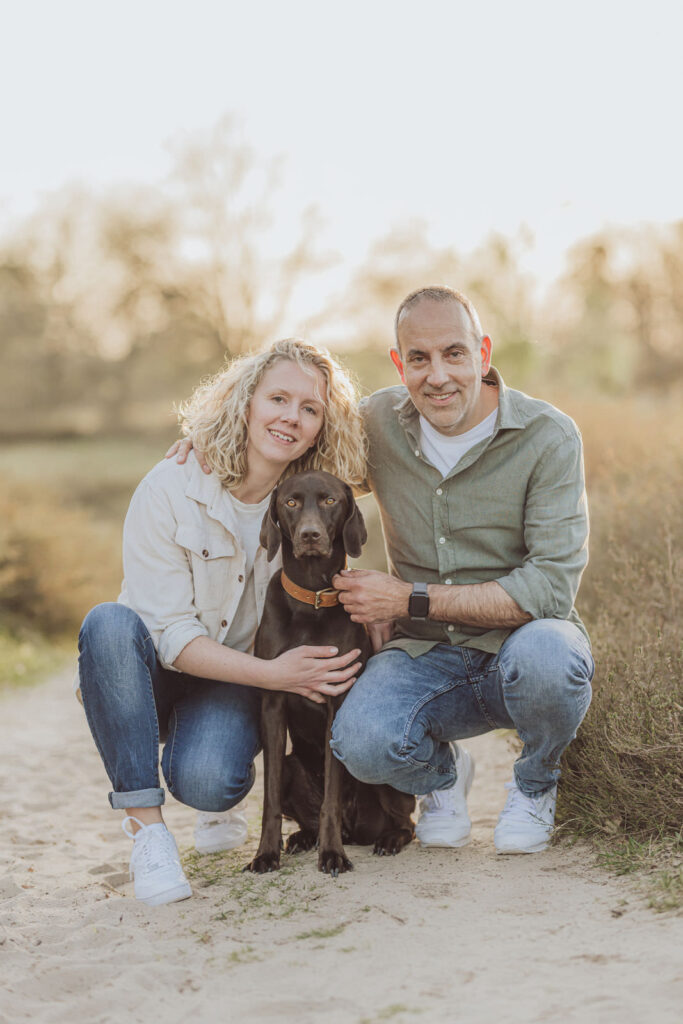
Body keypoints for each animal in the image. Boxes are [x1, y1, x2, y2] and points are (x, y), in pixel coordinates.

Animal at [245, 468, 417, 876]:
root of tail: (358, 831)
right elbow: (269, 800)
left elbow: (332, 798)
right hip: (292, 765)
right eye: (290, 501)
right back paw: (302, 838)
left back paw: (387, 840)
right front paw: (265, 854)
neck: (313, 600)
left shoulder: (338, 702)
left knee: (408, 822)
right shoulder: (273, 704)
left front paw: (332, 853)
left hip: (389, 787)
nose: (310, 535)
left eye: (329, 500)